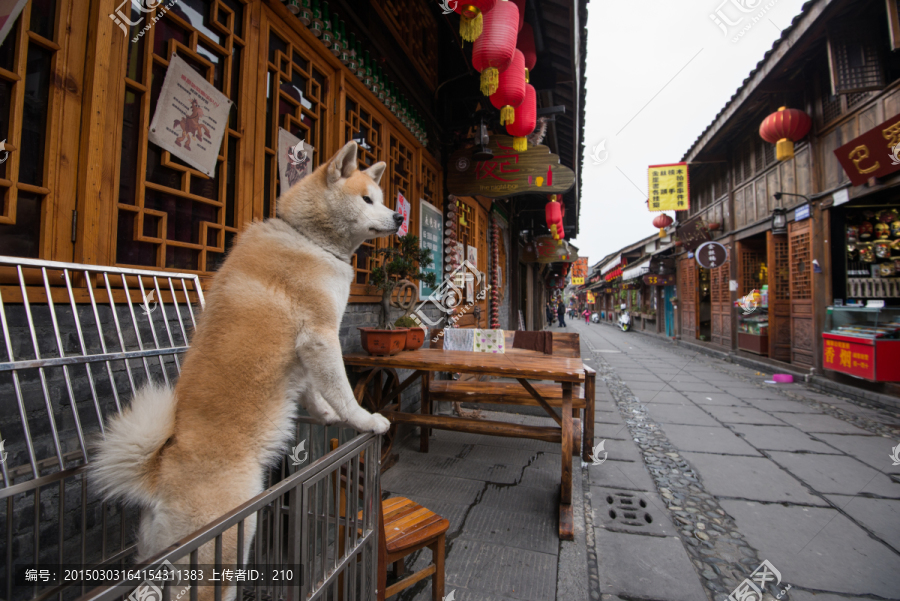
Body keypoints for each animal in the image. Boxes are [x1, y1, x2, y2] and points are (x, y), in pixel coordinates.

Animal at [93, 141, 400, 596]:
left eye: (380, 199)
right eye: (367, 200)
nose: (399, 217)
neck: (307, 239)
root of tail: (159, 475)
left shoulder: (305, 353)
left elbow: (313, 391)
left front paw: (325, 415)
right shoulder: (319, 336)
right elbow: (342, 390)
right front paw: (364, 420)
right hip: (228, 542)